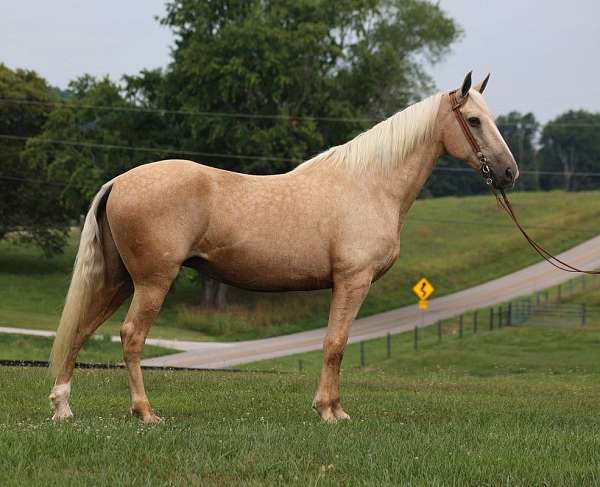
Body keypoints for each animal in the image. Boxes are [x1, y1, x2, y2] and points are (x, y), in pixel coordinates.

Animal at [48, 72, 516, 424]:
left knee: (82, 329)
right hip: (152, 282)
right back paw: (144, 412)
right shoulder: (353, 281)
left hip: (119, 280)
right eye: (473, 120)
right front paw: (331, 412)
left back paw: (63, 407)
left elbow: (335, 345)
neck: (369, 184)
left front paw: (331, 407)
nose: (509, 172)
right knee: (131, 336)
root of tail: (119, 180)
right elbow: (335, 344)